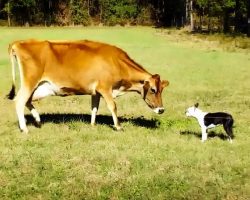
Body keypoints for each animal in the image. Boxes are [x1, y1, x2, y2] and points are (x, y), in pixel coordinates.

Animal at [6, 39, 170, 133]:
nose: (161, 110)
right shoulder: (105, 88)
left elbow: (94, 108)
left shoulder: (95, 92)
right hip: (30, 82)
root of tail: (19, 43)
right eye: (153, 90)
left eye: (162, 90)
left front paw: (92, 125)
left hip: (39, 87)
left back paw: (38, 120)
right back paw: (24, 128)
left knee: (27, 101)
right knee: (20, 100)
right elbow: (113, 106)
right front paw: (118, 126)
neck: (117, 62)